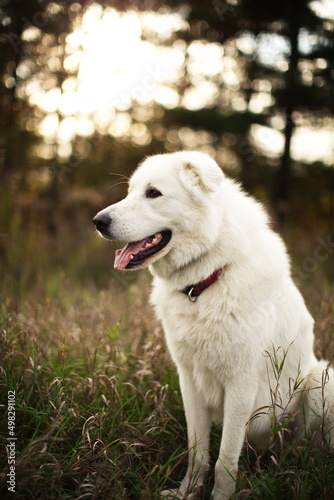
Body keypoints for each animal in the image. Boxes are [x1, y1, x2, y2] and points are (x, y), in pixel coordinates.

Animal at [92, 152, 332, 500]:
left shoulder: (241, 386)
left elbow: (225, 460)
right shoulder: (189, 381)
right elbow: (198, 453)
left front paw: (220, 495)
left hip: (321, 383)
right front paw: (187, 493)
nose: (98, 221)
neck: (206, 282)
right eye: (130, 192)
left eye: (153, 193)